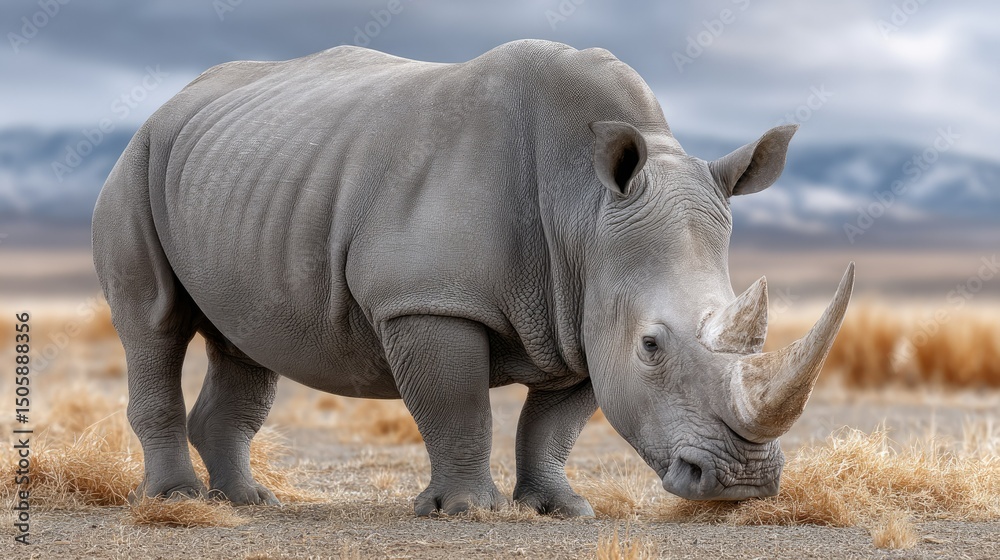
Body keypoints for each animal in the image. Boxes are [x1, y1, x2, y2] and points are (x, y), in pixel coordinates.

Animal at [92, 40, 853, 517]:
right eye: (652, 346)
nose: (741, 483)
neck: (584, 211)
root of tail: (170, 104)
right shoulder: (429, 301)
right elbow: (457, 404)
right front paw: (464, 510)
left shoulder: (582, 311)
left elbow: (554, 423)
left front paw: (560, 508)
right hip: (137, 163)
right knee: (154, 323)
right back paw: (177, 500)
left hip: (245, 176)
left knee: (244, 342)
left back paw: (249, 502)